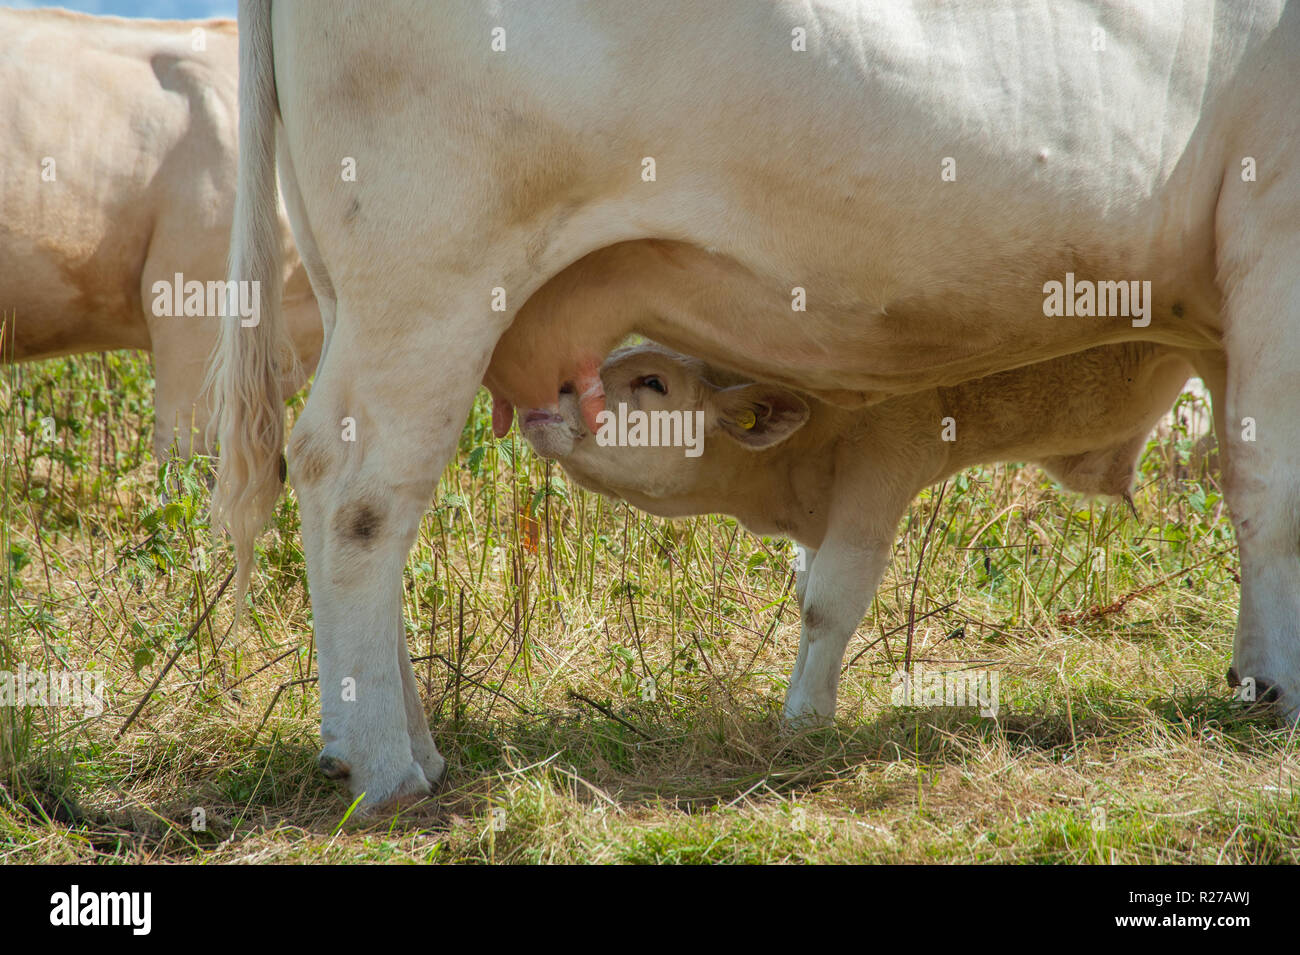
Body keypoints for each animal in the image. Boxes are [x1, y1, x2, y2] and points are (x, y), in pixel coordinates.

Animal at [522, 340, 1190, 722]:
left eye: (654, 383)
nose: (547, 390)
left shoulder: (887, 457)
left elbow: (830, 604)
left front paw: (806, 716)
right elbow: (805, 597)